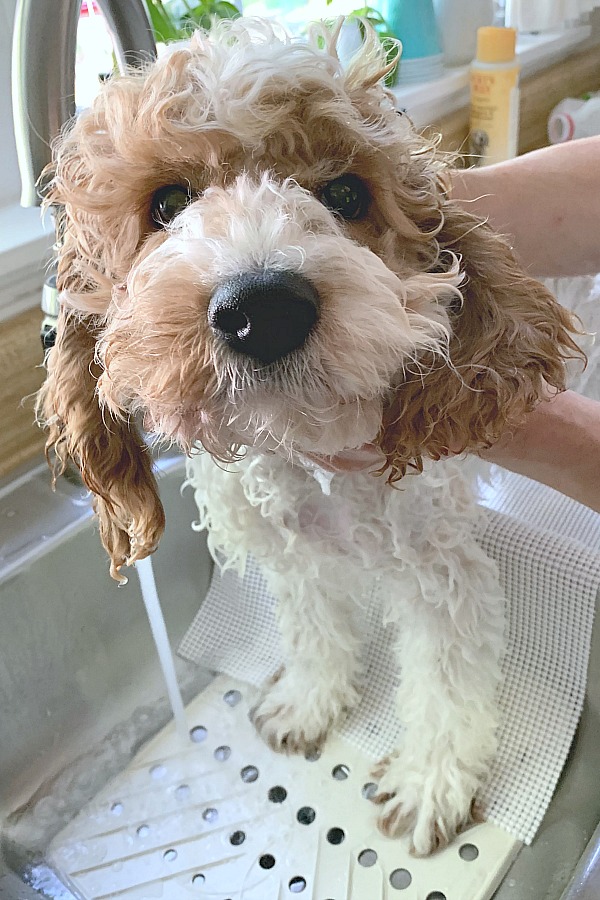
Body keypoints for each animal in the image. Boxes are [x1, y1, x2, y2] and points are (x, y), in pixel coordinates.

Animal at [38, 17, 580, 856]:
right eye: (167, 202)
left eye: (347, 193)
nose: (262, 307)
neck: (305, 454)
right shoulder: (293, 551)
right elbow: (314, 629)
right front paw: (309, 701)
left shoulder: (442, 569)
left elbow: (447, 679)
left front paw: (430, 779)